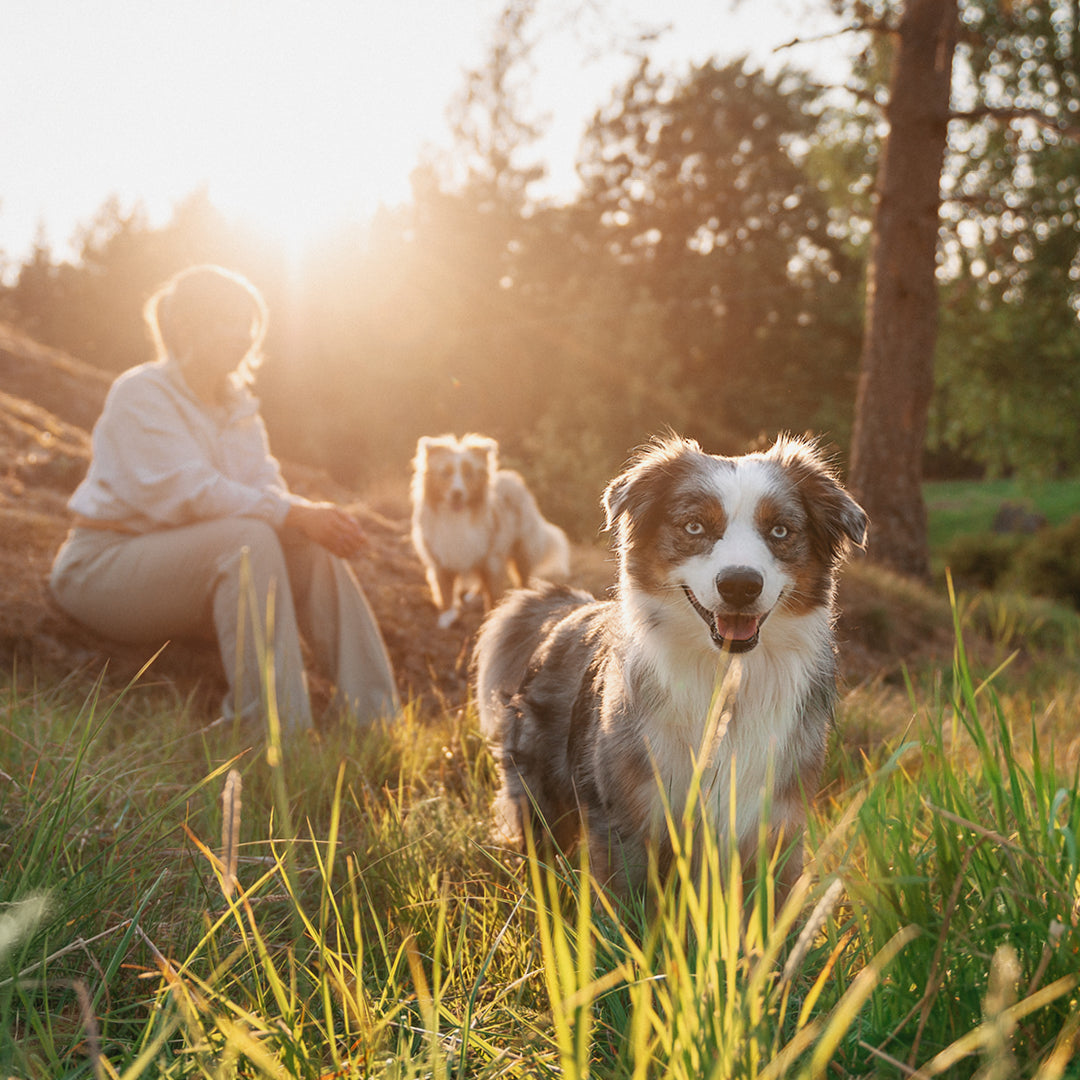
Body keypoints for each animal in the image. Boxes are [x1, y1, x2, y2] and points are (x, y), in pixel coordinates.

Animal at [408, 434, 574, 630]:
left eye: (468, 474)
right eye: (445, 473)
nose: (457, 493)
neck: (457, 517)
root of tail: (513, 477)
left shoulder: (490, 557)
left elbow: (492, 592)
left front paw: (491, 615)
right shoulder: (441, 558)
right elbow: (445, 589)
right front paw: (447, 617)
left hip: (521, 548)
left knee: (522, 576)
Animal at [473, 434, 868, 898]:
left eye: (780, 531)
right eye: (694, 527)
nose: (740, 585)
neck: (724, 678)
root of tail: (569, 607)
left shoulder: (777, 824)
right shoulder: (629, 819)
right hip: (542, 799)